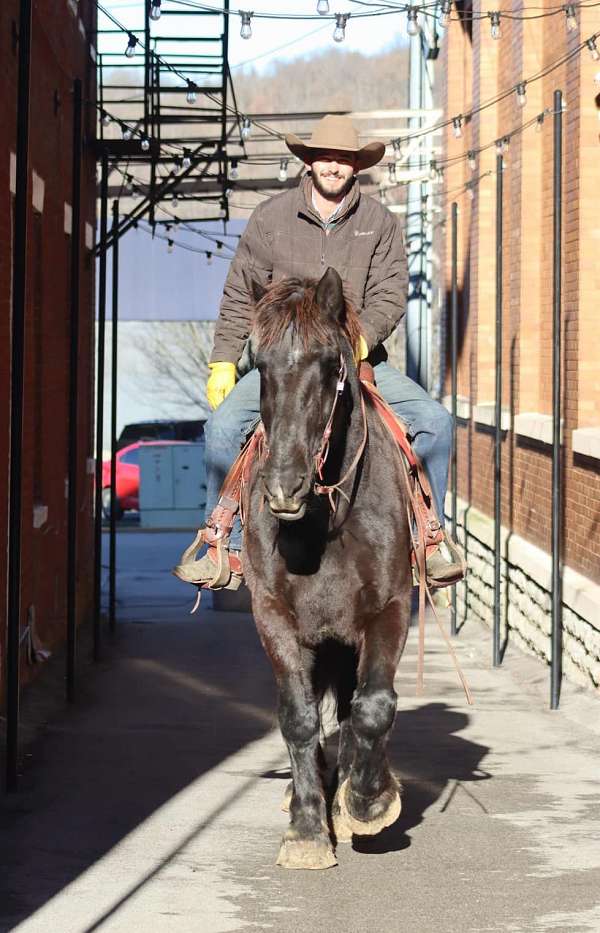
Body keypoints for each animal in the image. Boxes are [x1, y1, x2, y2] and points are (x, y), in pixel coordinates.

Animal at [244, 266, 412, 872]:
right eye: (259, 363)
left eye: (329, 363)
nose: (282, 488)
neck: (327, 521)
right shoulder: (274, 617)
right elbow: (298, 715)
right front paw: (308, 829)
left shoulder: (390, 608)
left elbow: (373, 707)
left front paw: (368, 802)